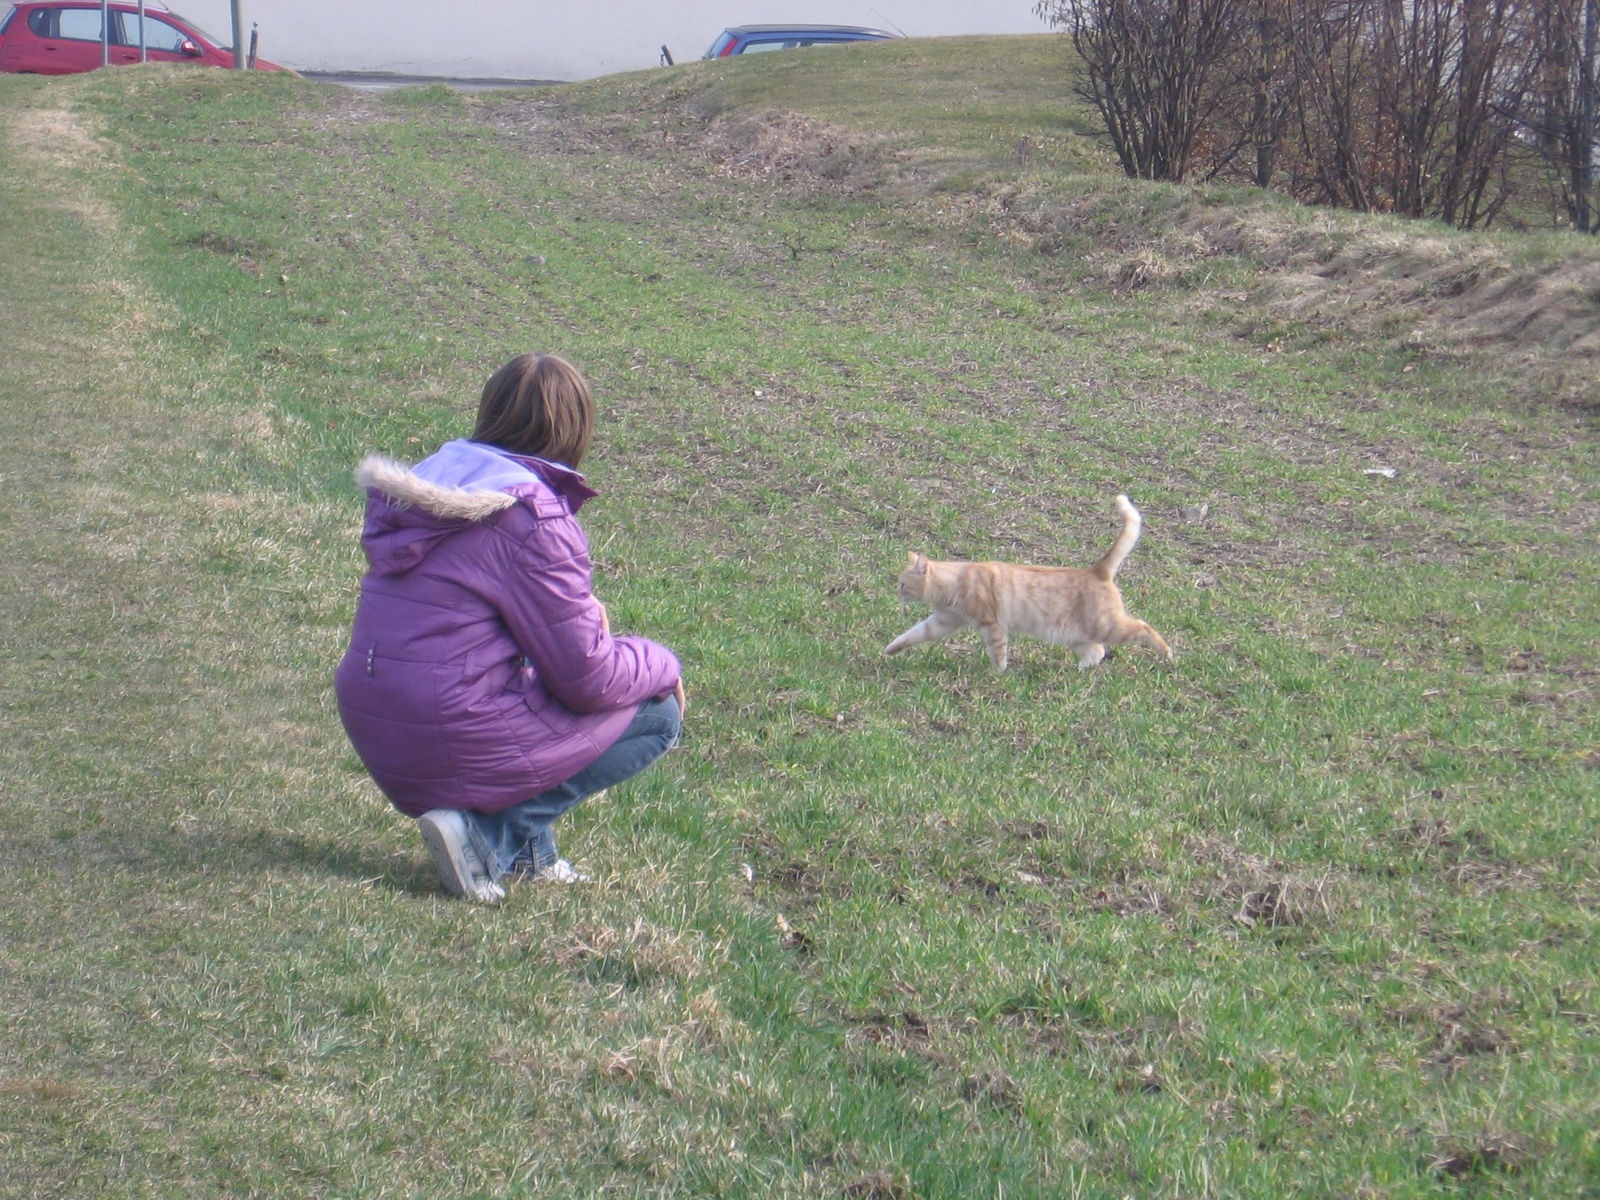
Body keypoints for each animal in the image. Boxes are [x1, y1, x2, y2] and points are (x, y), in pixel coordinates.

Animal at [883, 492, 1171, 672]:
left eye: (902, 583)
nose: (894, 591)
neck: (957, 582)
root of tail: (1096, 570)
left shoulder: (993, 626)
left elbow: (998, 653)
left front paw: (998, 674)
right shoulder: (943, 621)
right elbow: (913, 634)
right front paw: (890, 649)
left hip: (1108, 626)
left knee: (1143, 628)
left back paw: (1168, 654)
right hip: (1077, 637)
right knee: (1097, 653)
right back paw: (1074, 670)